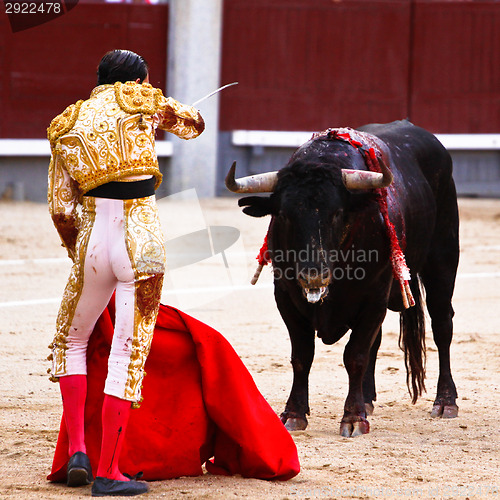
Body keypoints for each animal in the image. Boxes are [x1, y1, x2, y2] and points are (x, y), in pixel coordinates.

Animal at [227, 119, 460, 436]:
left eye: (337, 213)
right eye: (284, 214)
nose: (313, 275)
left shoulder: (374, 294)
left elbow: (355, 355)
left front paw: (353, 417)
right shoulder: (285, 295)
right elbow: (302, 355)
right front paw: (294, 414)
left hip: (443, 260)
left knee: (442, 326)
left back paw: (445, 401)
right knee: (377, 340)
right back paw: (369, 398)